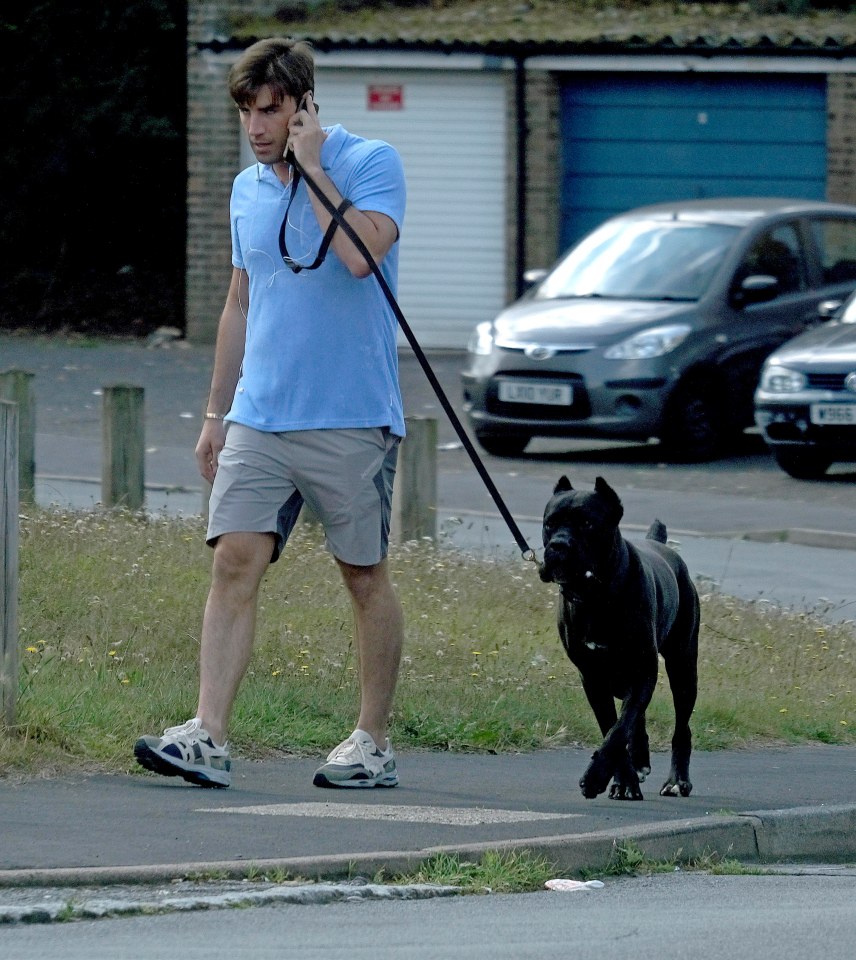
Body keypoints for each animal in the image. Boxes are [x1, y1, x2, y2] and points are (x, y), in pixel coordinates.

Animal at [540, 478, 700, 804]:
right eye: (550, 523)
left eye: (587, 523)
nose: (558, 545)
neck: (595, 595)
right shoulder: (593, 679)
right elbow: (612, 727)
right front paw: (624, 780)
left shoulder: (642, 672)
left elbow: (618, 730)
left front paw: (596, 777)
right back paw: (640, 762)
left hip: (683, 668)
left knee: (681, 728)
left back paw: (677, 781)